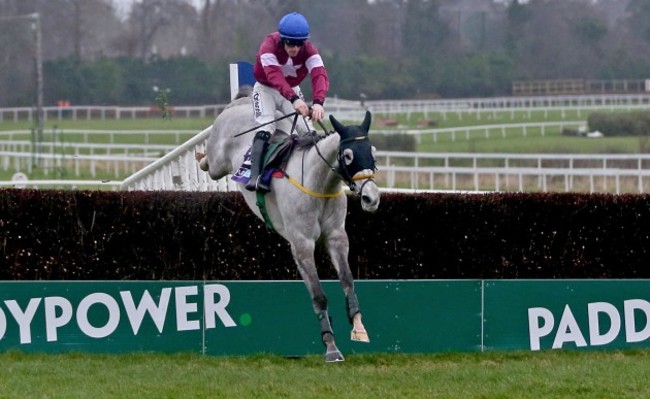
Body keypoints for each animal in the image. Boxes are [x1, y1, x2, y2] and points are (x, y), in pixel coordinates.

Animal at [197, 97, 380, 362]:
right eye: (347, 155)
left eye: (373, 152)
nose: (371, 198)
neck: (318, 185)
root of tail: (239, 103)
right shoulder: (302, 244)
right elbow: (318, 296)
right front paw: (331, 346)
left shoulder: (337, 237)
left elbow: (348, 281)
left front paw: (358, 326)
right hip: (218, 163)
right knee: (210, 164)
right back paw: (201, 156)